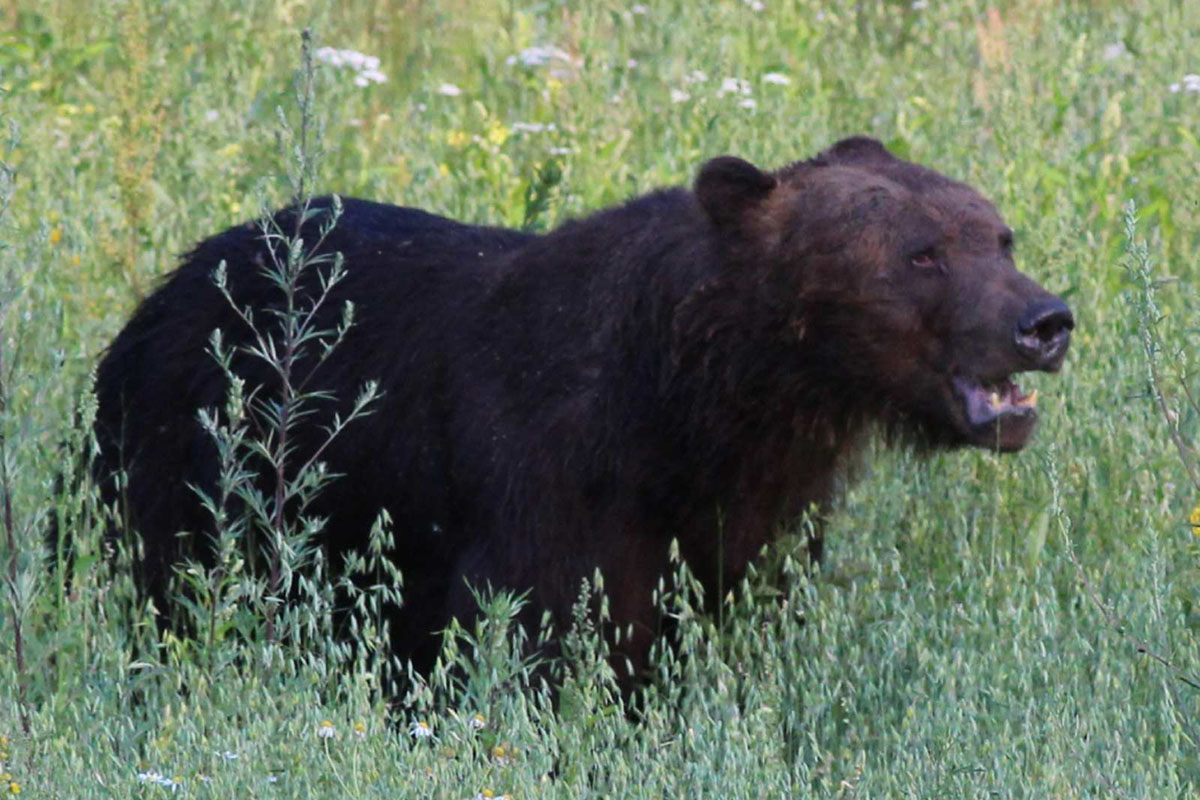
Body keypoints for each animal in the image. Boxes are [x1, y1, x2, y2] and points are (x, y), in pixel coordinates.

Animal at [91, 136, 1070, 676]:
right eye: (921, 254)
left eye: (1000, 236)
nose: (1044, 321)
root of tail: (165, 289)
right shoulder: (546, 486)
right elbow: (533, 638)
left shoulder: (754, 516)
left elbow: (737, 621)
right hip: (186, 469)